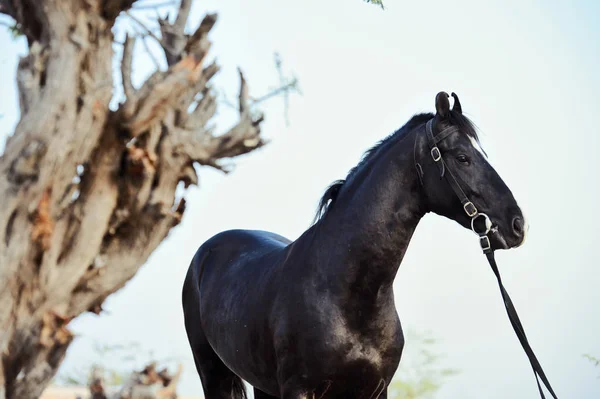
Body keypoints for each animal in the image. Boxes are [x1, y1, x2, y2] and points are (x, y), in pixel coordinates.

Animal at [182, 91, 524, 399]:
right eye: (463, 158)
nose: (517, 224)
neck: (346, 293)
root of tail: (207, 251)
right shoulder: (299, 390)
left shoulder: (375, 390)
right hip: (213, 373)